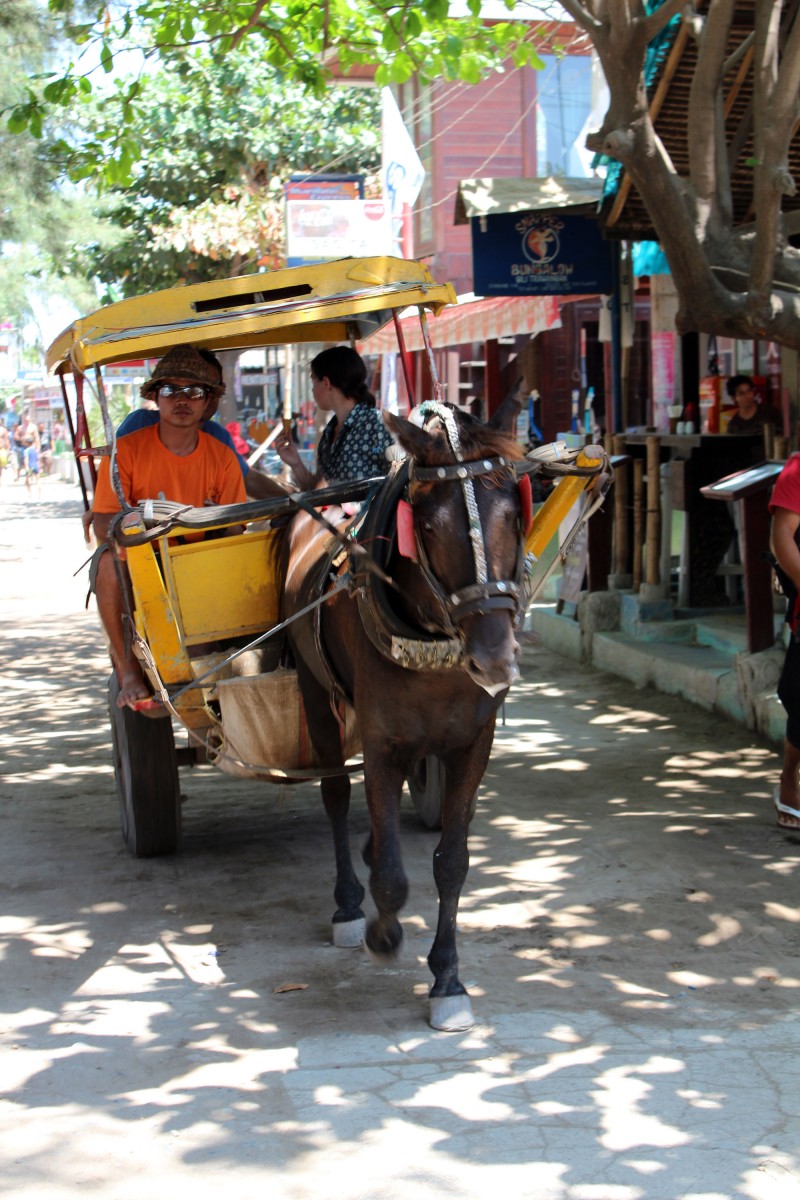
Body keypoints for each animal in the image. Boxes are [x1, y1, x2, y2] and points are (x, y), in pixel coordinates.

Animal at [281, 396, 525, 1032]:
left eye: (515, 515)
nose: (495, 658)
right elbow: (391, 876)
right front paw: (383, 932)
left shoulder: (473, 744)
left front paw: (448, 980)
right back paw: (348, 904)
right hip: (317, 695)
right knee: (336, 796)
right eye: (430, 527)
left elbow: (452, 863)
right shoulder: (381, 742)